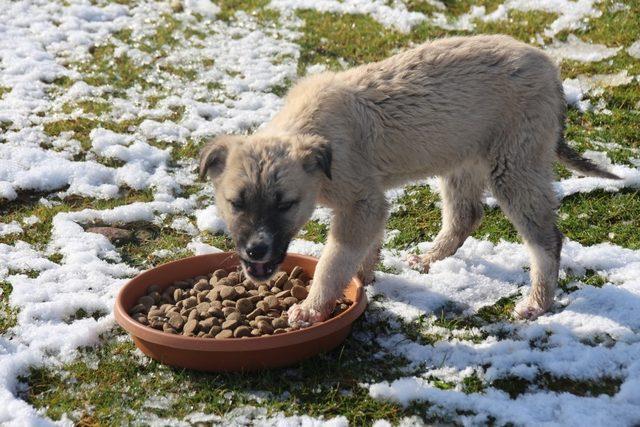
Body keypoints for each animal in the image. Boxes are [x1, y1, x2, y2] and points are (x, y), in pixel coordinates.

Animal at [201, 35, 620, 326]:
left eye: (285, 204)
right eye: (235, 203)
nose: (255, 253)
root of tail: (550, 69)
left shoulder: (361, 202)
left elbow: (333, 260)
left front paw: (312, 308)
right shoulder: (371, 201)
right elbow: (365, 249)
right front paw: (364, 279)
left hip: (514, 165)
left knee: (547, 240)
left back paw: (536, 303)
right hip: (461, 160)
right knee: (465, 215)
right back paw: (430, 258)